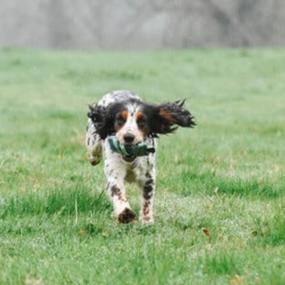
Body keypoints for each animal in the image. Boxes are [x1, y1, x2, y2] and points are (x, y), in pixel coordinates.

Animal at [85, 90, 194, 223]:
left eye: (142, 121)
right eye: (120, 119)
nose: (128, 137)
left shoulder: (148, 175)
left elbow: (147, 198)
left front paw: (147, 220)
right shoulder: (114, 171)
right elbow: (117, 192)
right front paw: (125, 213)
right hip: (92, 141)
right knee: (93, 152)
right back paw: (94, 158)